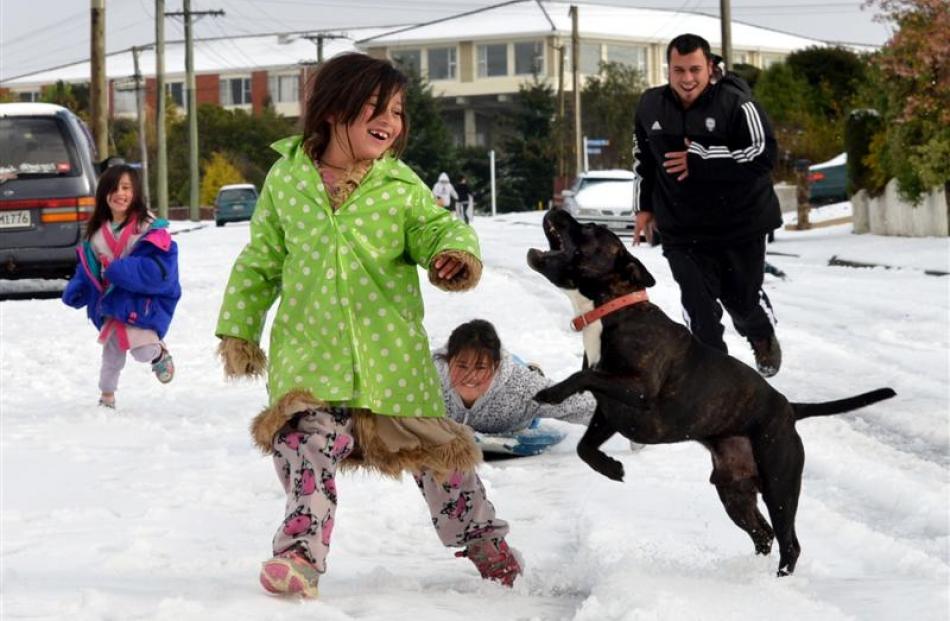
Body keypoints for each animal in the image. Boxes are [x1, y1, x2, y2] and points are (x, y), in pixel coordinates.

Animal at [528, 209, 900, 576]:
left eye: (591, 228)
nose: (557, 209)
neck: (611, 310)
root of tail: (789, 409)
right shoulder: (609, 410)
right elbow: (584, 445)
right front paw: (610, 468)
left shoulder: (638, 388)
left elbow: (583, 376)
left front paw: (551, 393)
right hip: (733, 490)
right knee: (763, 534)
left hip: (779, 484)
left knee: (789, 542)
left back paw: (779, 580)